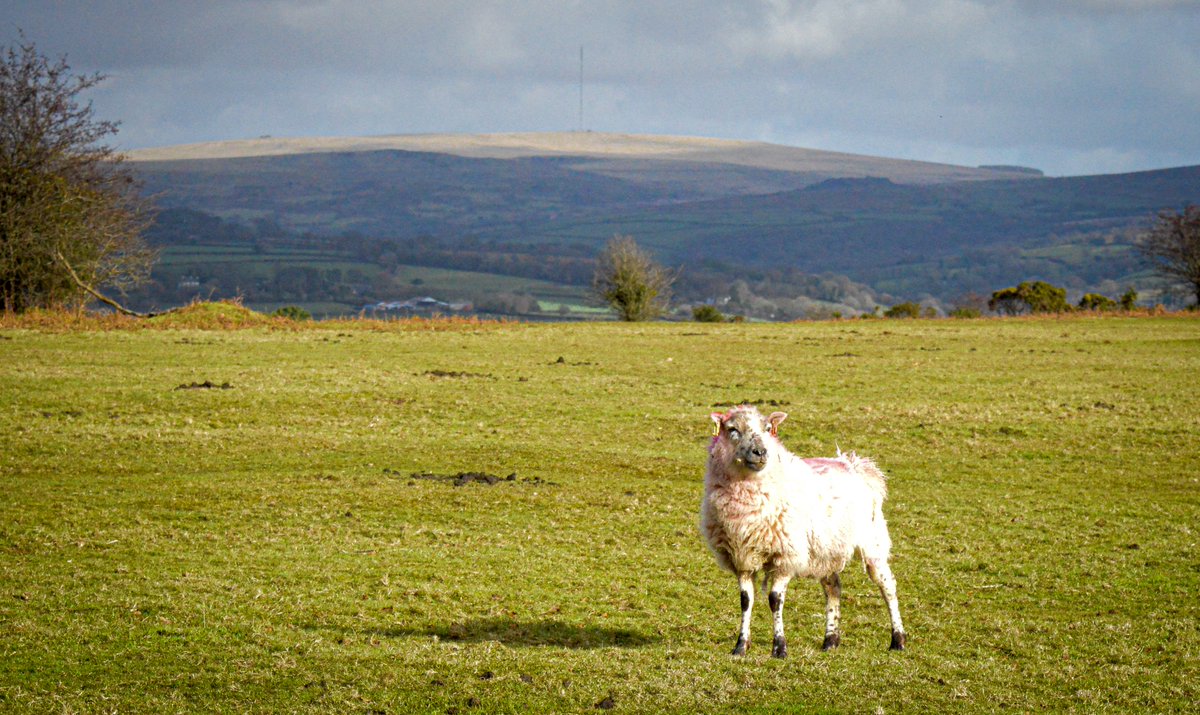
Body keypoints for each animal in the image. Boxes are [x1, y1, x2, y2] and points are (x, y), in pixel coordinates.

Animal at [699, 405, 906, 657]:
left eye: (767, 428)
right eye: (732, 430)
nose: (760, 452)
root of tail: (855, 465)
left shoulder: (785, 555)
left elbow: (774, 600)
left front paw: (779, 647)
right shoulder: (742, 557)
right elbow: (745, 600)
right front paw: (740, 646)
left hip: (872, 540)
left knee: (888, 586)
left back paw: (897, 639)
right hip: (826, 548)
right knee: (834, 587)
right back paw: (830, 640)